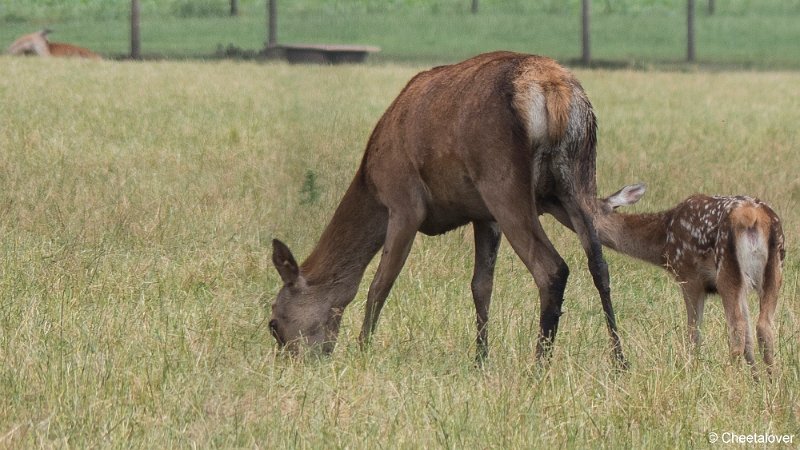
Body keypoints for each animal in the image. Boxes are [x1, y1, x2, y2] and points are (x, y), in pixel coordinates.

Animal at [272, 51, 628, 368]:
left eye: (273, 323)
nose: (291, 364)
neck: (371, 180)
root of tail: (556, 92)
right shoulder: (483, 215)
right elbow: (481, 286)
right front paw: (480, 360)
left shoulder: (404, 201)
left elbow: (379, 285)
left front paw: (362, 353)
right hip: (575, 180)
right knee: (599, 263)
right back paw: (620, 361)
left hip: (502, 180)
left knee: (551, 267)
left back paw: (539, 367)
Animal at [596, 183, 784, 376]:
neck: (664, 242)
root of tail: (752, 217)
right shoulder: (742, 289)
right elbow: (748, 337)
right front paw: (755, 378)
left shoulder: (689, 277)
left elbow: (694, 332)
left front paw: (691, 369)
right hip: (773, 271)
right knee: (763, 326)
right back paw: (773, 380)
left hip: (726, 270)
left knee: (736, 326)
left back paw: (732, 376)